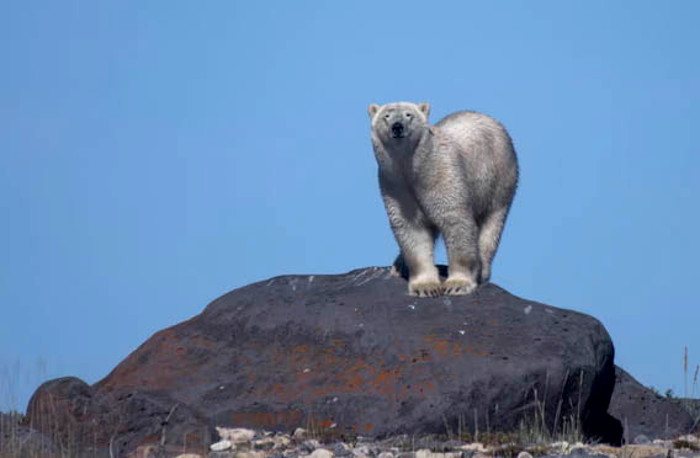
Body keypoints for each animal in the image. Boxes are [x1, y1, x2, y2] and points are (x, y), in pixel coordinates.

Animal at [368, 102, 518, 297]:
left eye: (409, 115)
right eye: (386, 116)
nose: (397, 126)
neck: (413, 169)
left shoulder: (442, 176)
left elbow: (455, 222)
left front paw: (458, 284)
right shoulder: (394, 185)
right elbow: (411, 229)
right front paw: (425, 286)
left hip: (500, 179)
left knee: (491, 226)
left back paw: (482, 270)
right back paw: (399, 266)